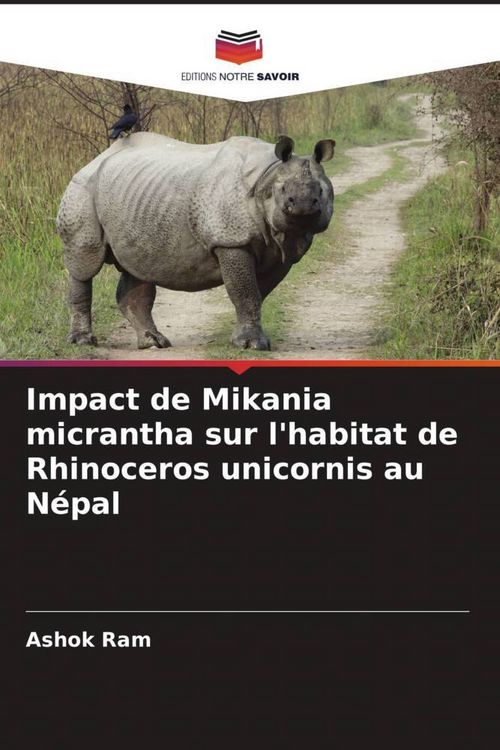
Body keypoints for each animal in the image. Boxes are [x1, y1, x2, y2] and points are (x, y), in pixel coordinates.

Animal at [57, 132, 335, 351]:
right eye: (284, 191)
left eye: (321, 191)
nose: (302, 206)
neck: (270, 172)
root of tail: (94, 159)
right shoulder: (230, 240)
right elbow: (246, 292)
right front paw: (251, 345)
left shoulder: (282, 254)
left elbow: (257, 293)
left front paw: (243, 340)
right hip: (81, 190)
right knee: (84, 263)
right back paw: (83, 342)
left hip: (135, 198)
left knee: (139, 268)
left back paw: (153, 342)